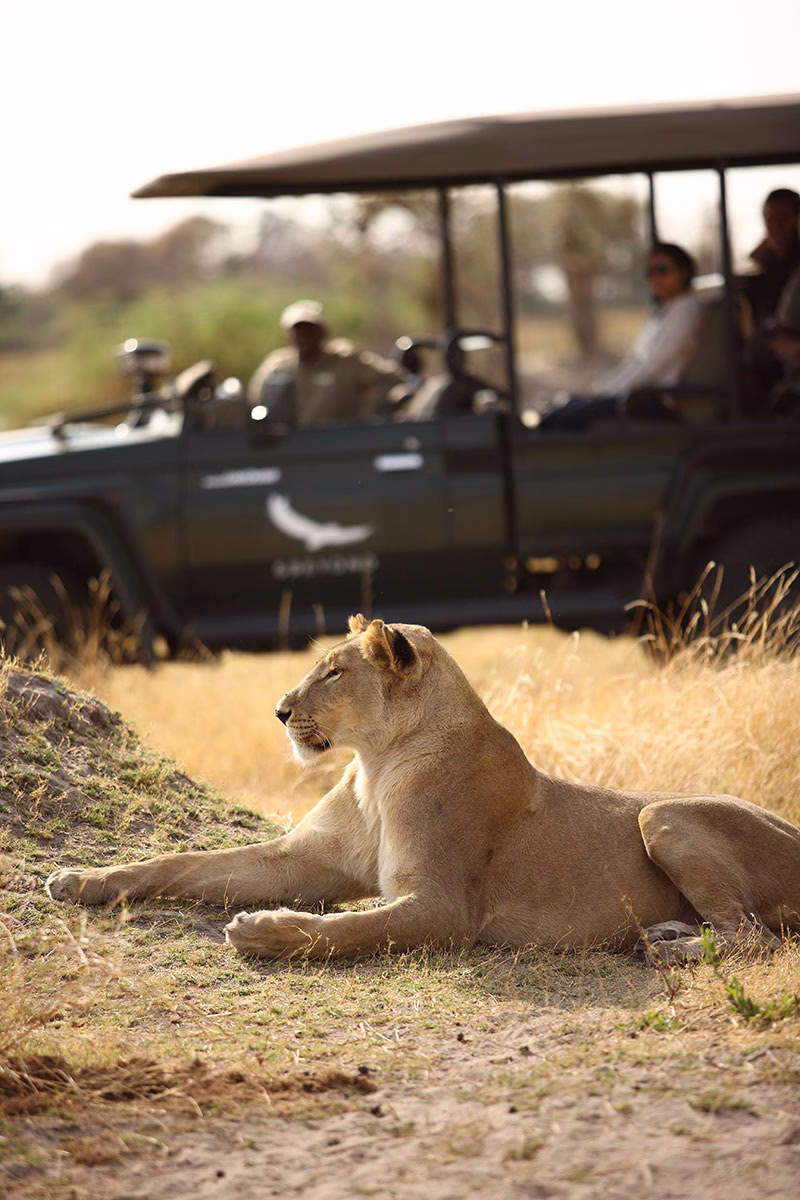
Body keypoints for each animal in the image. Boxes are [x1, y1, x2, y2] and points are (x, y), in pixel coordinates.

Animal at [47, 615, 800, 963]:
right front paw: (82, 879)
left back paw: (668, 948)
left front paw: (265, 932)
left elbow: (350, 930)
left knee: (756, 939)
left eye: (333, 673)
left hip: (663, 813)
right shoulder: (302, 859)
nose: (280, 711)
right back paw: (669, 931)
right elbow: (184, 862)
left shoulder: (446, 907)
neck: (375, 764)